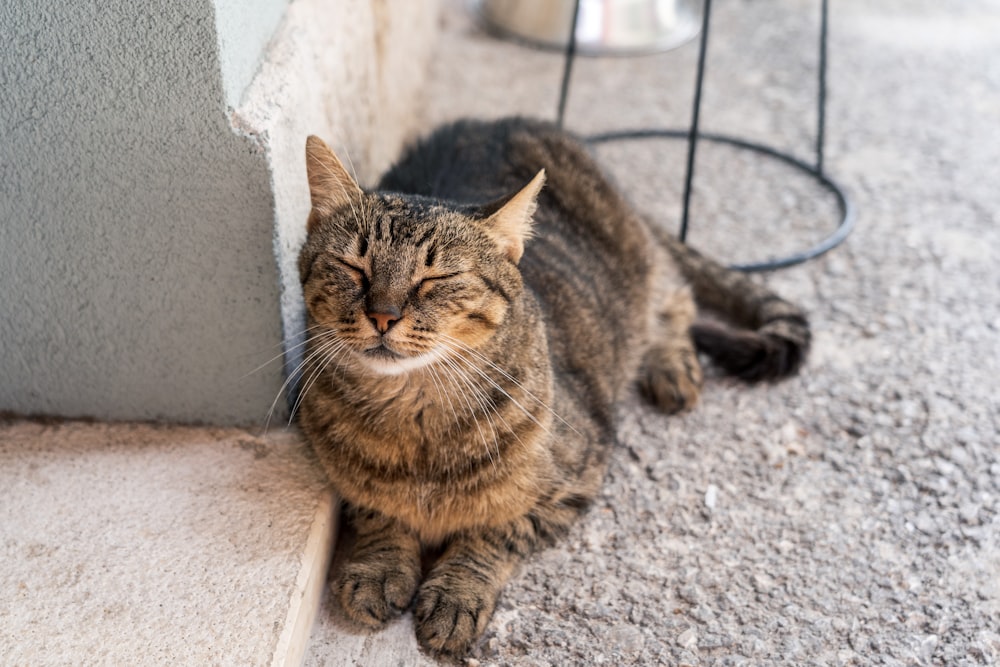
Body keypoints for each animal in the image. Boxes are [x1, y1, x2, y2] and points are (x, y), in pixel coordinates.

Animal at [296, 116, 812, 656]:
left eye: (435, 278)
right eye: (353, 268)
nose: (383, 315)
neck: (414, 417)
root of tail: (502, 122)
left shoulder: (575, 482)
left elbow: (495, 533)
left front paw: (456, 593)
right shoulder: (341, 475)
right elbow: (377, 512)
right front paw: (379, 567)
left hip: (643, 270)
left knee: (676, 300)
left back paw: (671, 367)